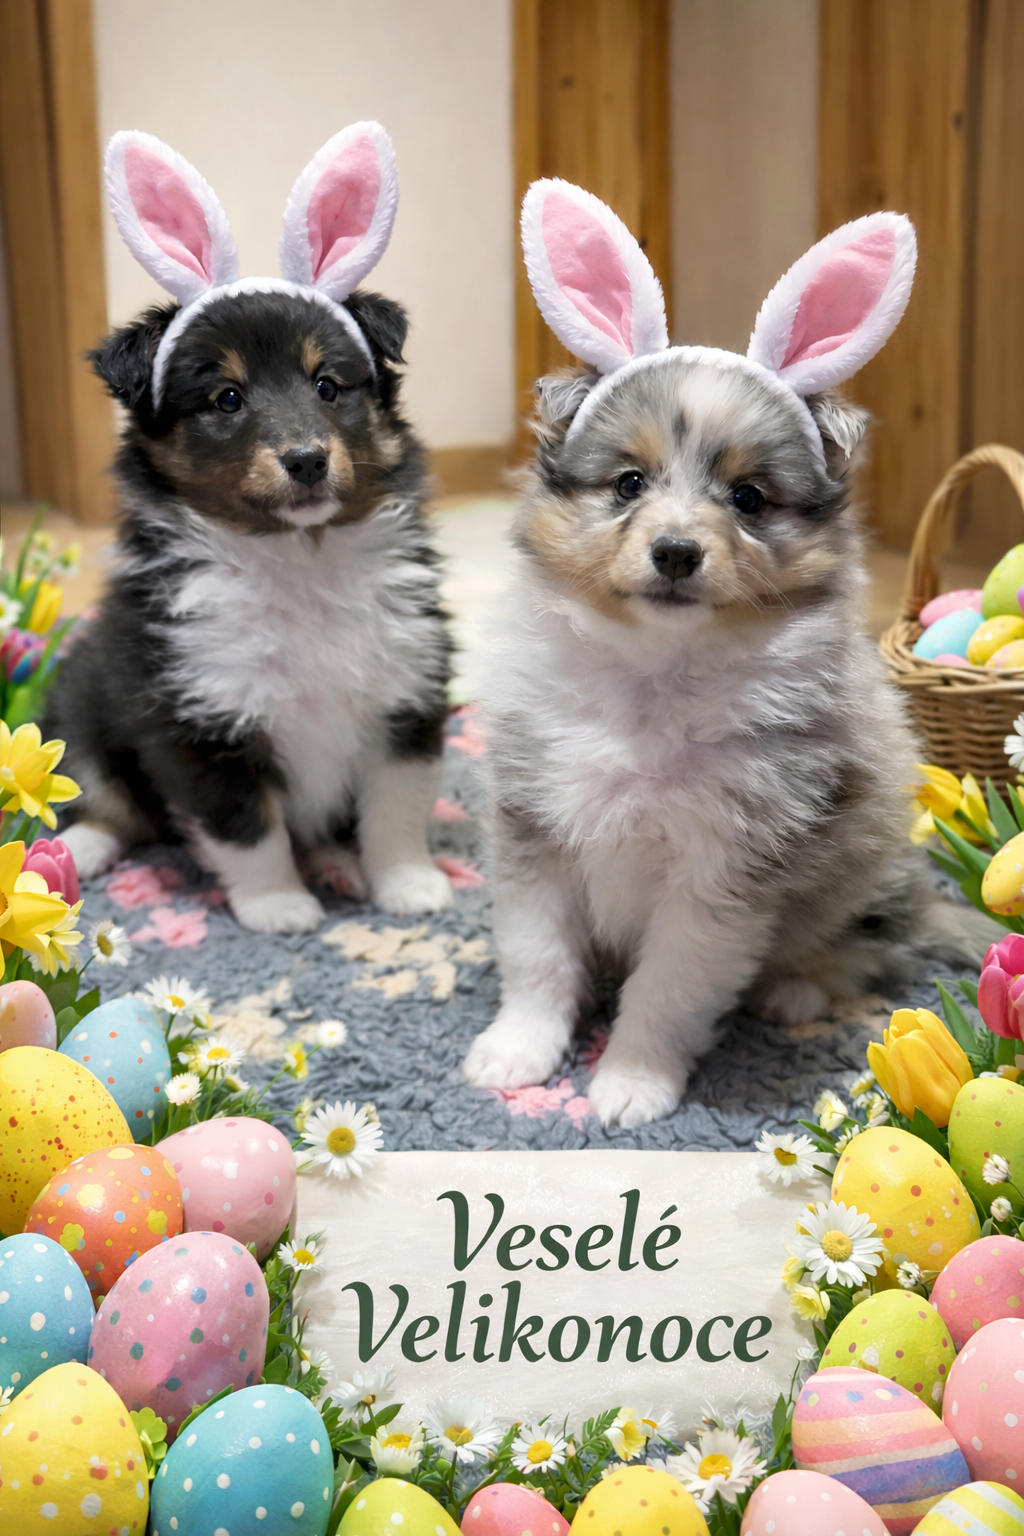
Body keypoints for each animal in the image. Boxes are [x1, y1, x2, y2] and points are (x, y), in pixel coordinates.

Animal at [50, 125, 452, 933]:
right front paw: (278, 907)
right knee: (106, 798)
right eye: (227, 398)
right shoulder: (201, 717)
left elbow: (395, 810)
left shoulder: (407, 692)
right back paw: (76, 855)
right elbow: (245, 825)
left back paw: (334, 863)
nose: (306, 460)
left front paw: (407, 885)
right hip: (80, 696)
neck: (300, 554)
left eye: (328, 385)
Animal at [463, 180, 993, 1128]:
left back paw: (795, 993)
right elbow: (538, 958)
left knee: (871, 953)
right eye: (629, 484)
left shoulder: (722, 876)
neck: (655, 678)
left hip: (856, 874)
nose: (676, 552)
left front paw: (631, 1083)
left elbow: (667, 990)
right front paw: (517, 1052)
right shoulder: (535, 831)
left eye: (748, 498)